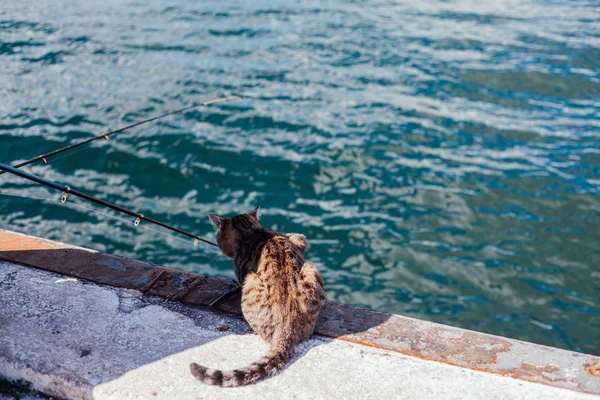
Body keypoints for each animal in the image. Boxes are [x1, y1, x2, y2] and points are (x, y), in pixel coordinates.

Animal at [190, 205, 326, 386]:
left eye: (218, 239)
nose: (218, 243)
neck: (251, 231)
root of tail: (286, 325)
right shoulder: (298, 239)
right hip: (310, 269)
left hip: (251, 281)